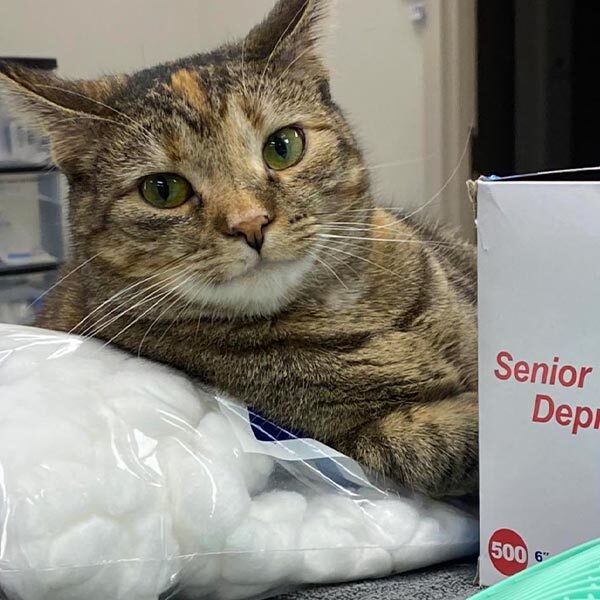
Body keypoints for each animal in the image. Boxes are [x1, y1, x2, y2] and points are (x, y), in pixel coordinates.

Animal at [0, 0, 478, 496]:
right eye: (162, 189)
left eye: (283, 147)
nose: (250, 223)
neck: (345, 309)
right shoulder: (354, 442)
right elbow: (440, 443)